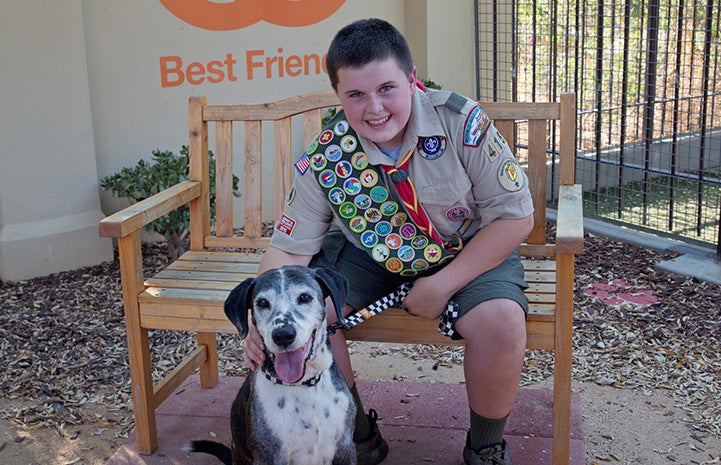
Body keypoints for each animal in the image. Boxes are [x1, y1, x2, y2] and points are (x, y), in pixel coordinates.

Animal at [184, 264, 356, 464]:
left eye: (304, 297)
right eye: (262, 303)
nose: (283, 335)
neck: (302, 385)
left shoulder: (345, 448)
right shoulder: (270, 457)